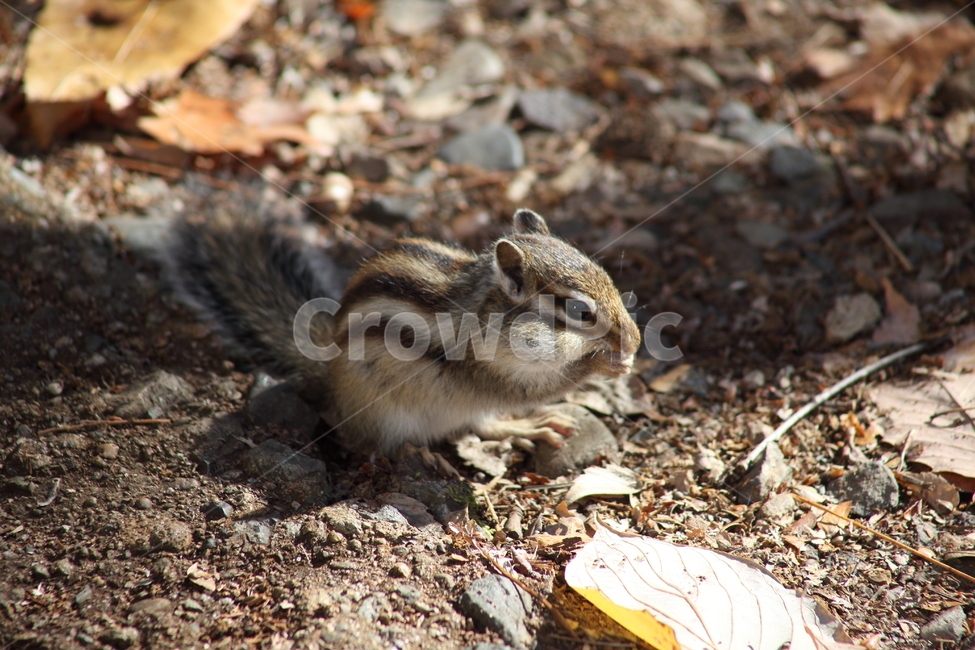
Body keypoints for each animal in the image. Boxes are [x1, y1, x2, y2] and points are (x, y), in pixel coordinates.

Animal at [164, 205, 640, 455]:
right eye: (578, 310)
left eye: (605, 273)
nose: (634, 339)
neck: (486, 308)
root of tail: (329, 380)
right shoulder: (489, 369)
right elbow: (533, 386)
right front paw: (602, 364)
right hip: (384, 412)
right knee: (373, 441)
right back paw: (421, 452)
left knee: (483, 427)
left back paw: (524, 429)